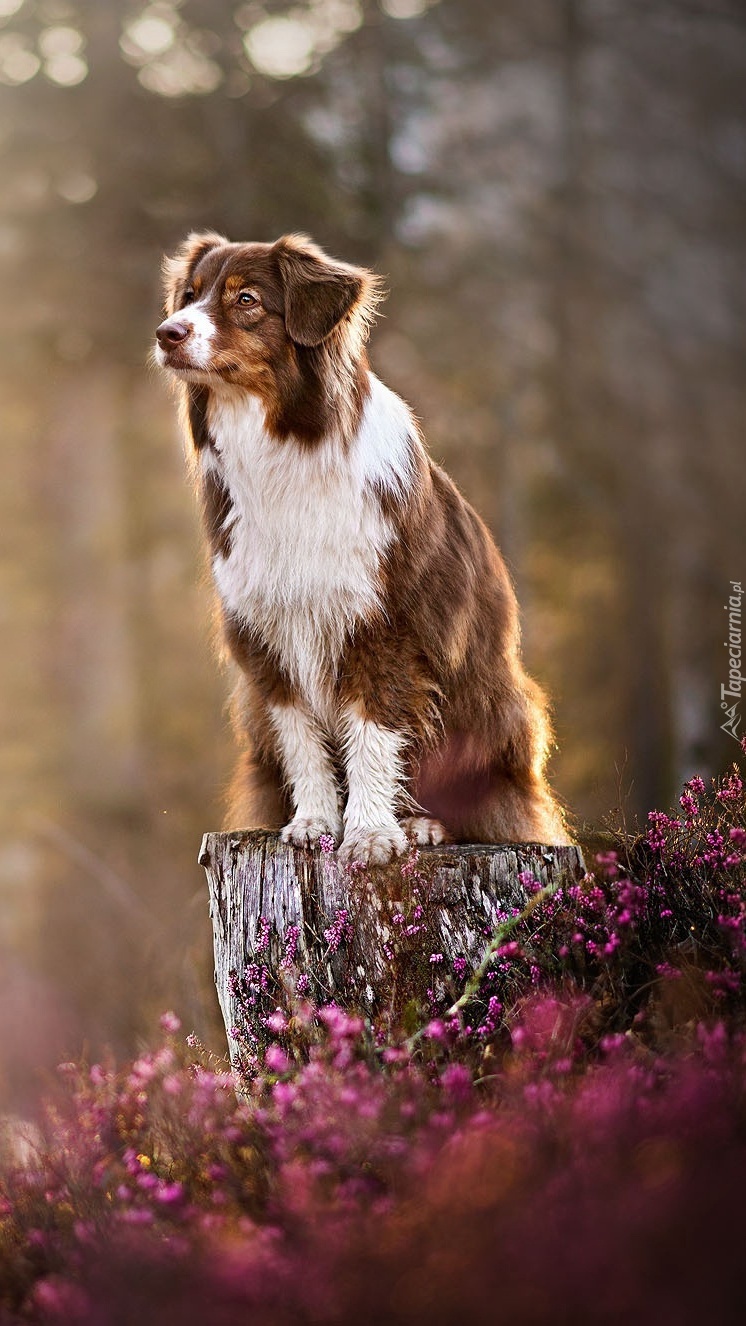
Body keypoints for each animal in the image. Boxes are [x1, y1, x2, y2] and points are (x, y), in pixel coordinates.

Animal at [155, 233, 569, 864]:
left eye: (246, 299)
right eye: (190, 296)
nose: (166, 333)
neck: (284, 447)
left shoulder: (384, 627)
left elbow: (373, 734)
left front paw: (372, 831)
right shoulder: (269, 634)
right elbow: (302, 738)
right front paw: (315, 822)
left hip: (496, 704)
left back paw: (424, 824)